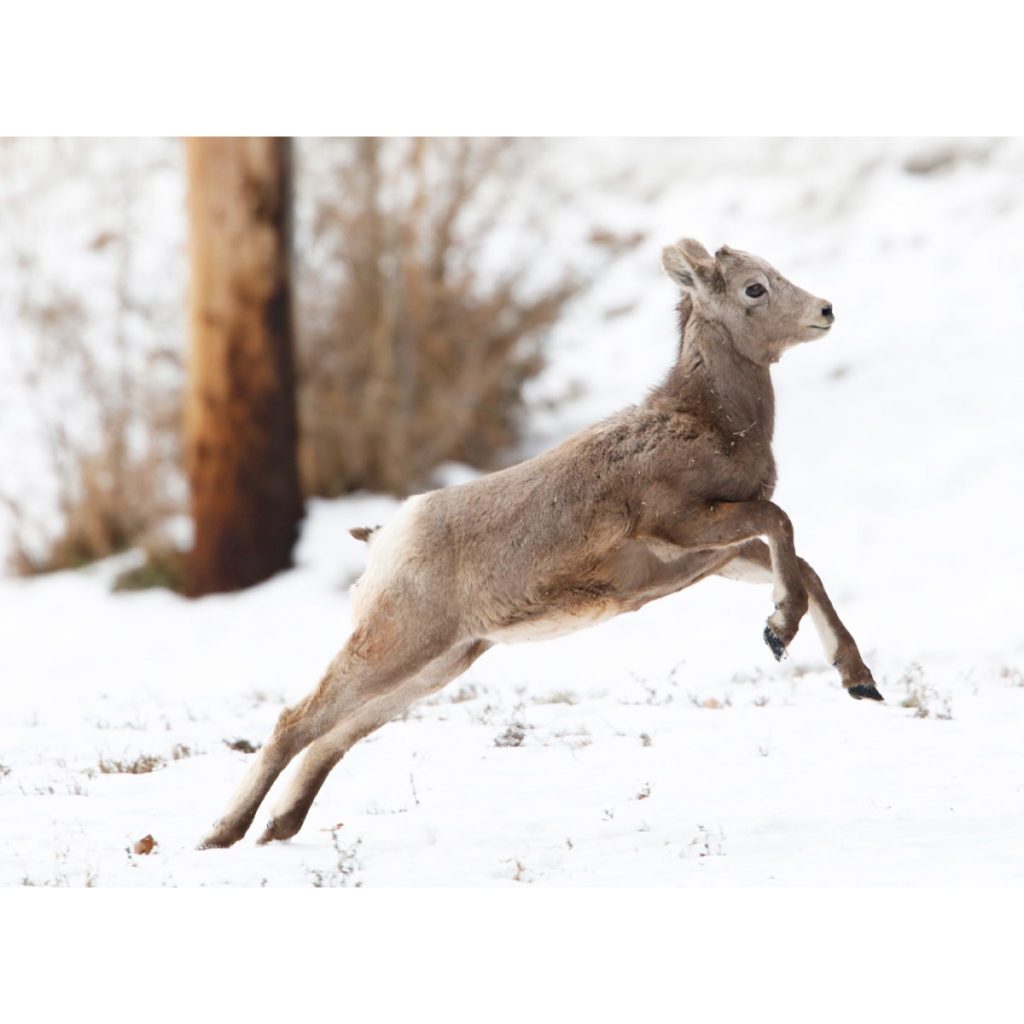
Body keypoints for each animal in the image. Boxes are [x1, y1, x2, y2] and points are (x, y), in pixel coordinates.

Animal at [197, 237, 880, 847]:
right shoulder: (687, 527)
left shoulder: (716, 555)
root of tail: (383, 538)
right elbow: (782, 523)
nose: (825, 310)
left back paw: (276, 830)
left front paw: (859, 682)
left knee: (334, 738)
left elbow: (803, 566)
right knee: (296, 723)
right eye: (754, 288)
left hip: (441, 663)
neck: (708, 423)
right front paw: (778, 632)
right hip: (396, 646)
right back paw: (221, 835)